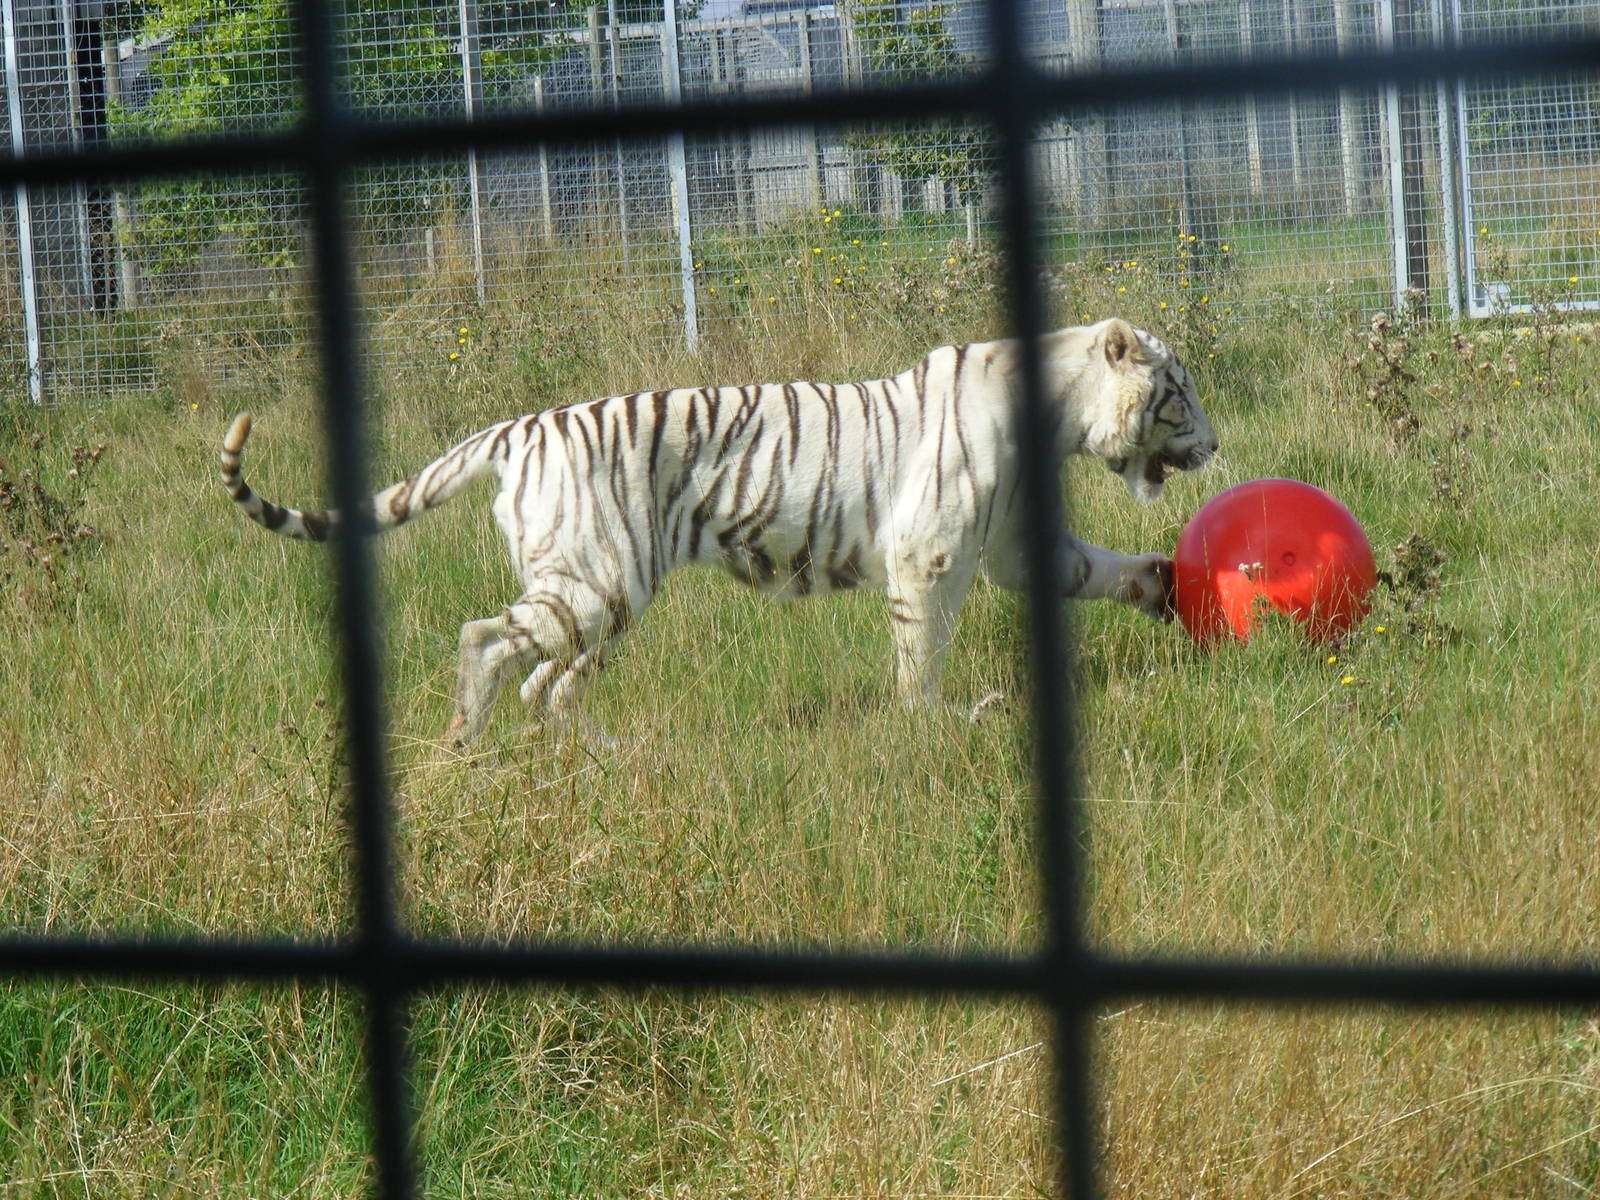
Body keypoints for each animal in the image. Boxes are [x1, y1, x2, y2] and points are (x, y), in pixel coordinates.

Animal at [219, 317, 1216, 743]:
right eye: (1180, 392)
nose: (1216, 443)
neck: (1058, 417)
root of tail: (514, 429)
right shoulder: (930, 555)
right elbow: (921, 651)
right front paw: (935, 720)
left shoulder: (1012, 543)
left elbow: (1096, 570)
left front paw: (1164, 583)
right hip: (596, 584)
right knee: (487, 641)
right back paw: (465, 739)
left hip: (604, 598)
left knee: (547, 683)